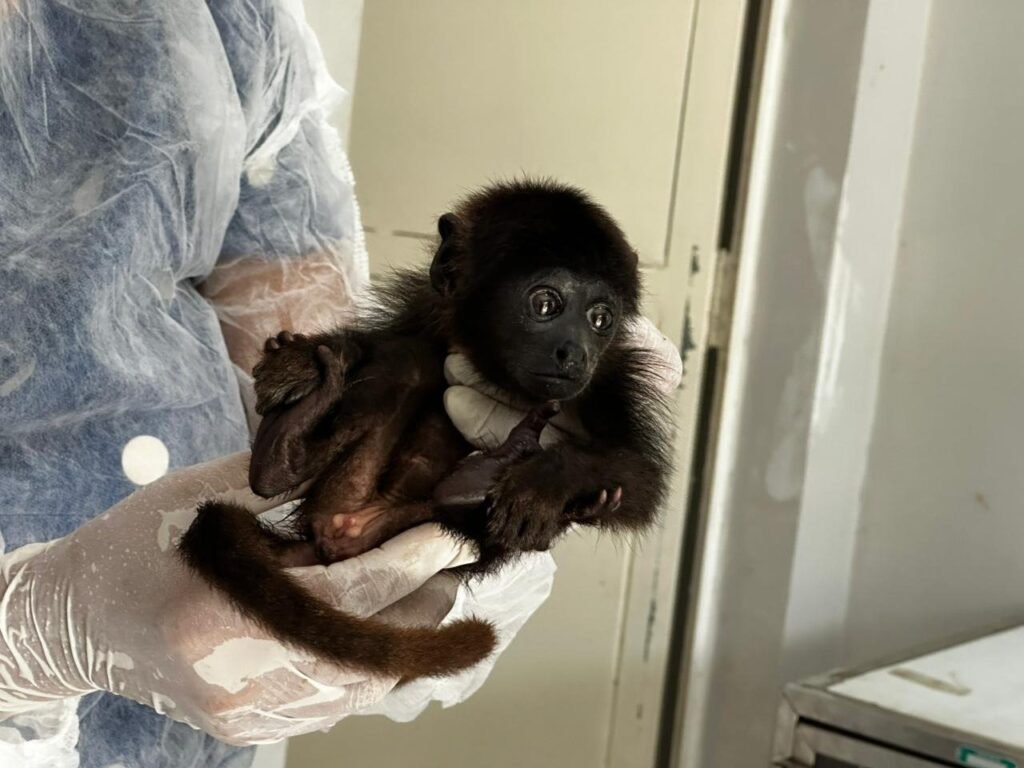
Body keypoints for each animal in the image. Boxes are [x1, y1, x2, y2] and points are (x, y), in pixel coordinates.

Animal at [179, 179, 674, 682]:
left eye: (600, 318)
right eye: (545, 304)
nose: (575, 352)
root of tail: (348, 530)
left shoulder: (612, 377)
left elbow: (642, 481)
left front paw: (544, 483)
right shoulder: (426, 306)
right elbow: (380, 343)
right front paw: (300, 362)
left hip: (419, 520)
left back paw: (478, 481)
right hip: (344, 491)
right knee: (410, 360)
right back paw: (284, 450)